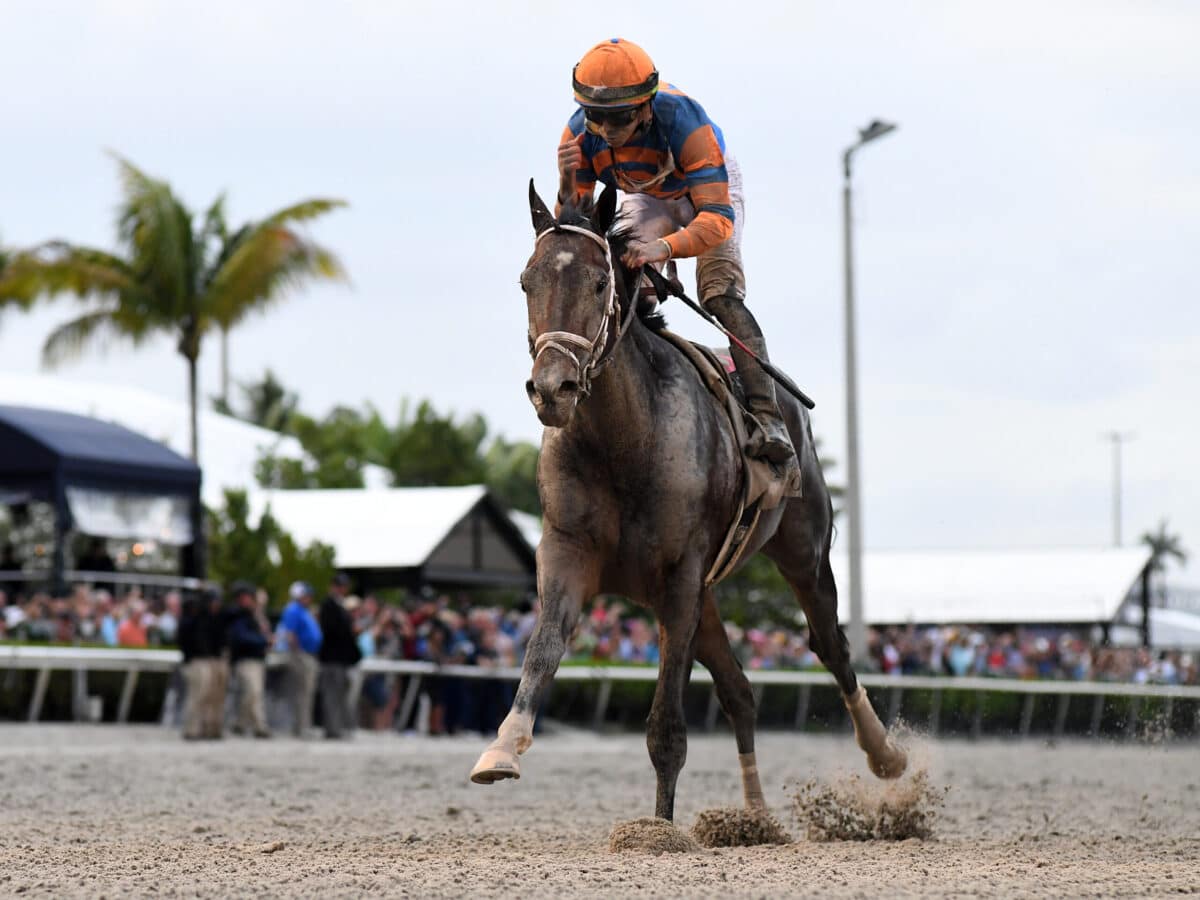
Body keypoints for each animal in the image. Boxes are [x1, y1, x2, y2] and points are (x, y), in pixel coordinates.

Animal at [468, 180, 902, 820]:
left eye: (599, 282)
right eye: (528, 281)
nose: (553, 389)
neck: (623, 441)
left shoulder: (679, 576)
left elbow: (666, 729)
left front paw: (659, 828)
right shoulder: (569, 555)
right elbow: (542, 649)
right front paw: (501, 750)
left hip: (802, 553)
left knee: (831, 646)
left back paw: (884, 755)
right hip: (709, 593)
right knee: (740, 691)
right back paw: (755, 814)